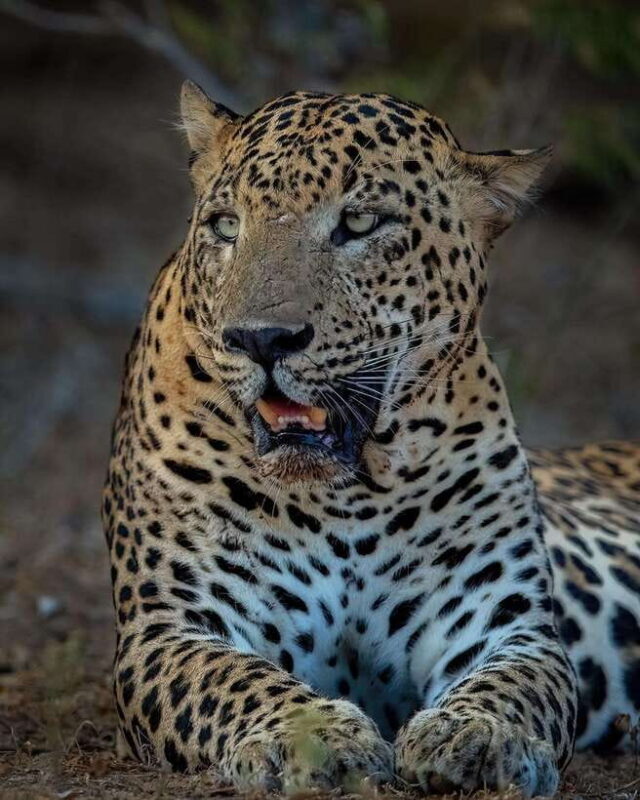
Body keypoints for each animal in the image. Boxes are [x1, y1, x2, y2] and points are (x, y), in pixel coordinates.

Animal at [102, 81, 640, 797]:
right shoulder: (171, 627)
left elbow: (513, 687)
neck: (346, 493)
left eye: (359, 225)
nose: (260, 339)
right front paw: (309, 739)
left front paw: (473, 734)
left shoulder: (507, 622)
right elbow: (238, 680)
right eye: (226, 226)